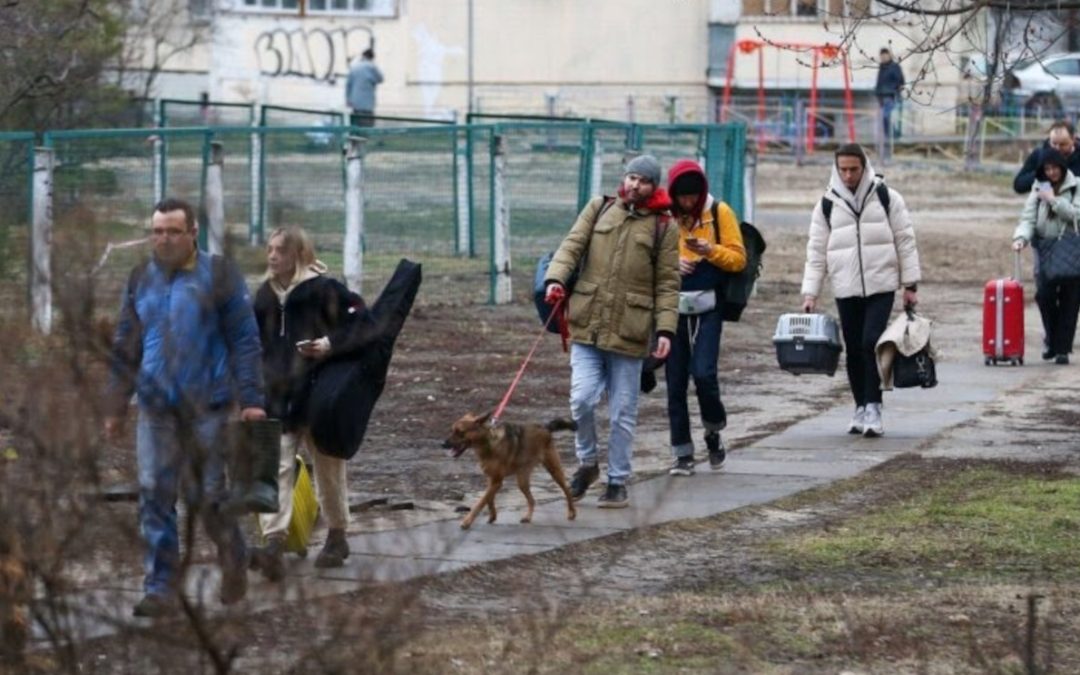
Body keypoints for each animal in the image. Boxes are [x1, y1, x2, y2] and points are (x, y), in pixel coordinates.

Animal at [444, 412, 578, 529]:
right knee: (532, 500)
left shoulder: (496, 481)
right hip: (522, 480)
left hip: (554, 470)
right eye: (452, 430)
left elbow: (481, 502)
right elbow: (489, 499)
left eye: (460, 432)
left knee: (567, 490)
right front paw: (492, 516)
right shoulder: (491, 479)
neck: (488, 442)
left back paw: (572, 512)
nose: (442, 444)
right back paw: (527, 517)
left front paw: (467, 521)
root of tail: (545, 427)